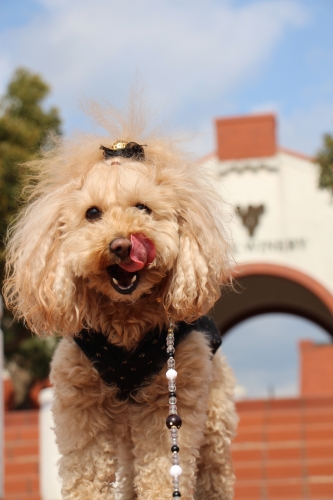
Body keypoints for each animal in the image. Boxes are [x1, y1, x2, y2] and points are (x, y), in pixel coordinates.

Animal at [3, 102, 236, 500]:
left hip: (212, 423)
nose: (122, 245)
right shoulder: (79, 406)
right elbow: (86, 474)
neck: (126, 320)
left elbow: (163, 472)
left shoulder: (168, 407)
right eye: (92, 213)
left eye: (143, 208)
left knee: (212, 473)